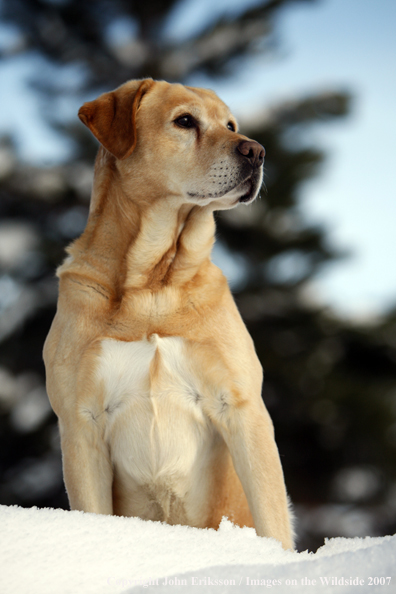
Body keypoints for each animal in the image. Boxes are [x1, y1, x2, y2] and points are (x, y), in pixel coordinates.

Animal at [43, 78, 294, 552]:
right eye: (185, 121)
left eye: (231, 125)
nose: (256, 151)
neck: (152, 284)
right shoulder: (81, 422)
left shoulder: (242, 407)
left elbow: (273, 517)